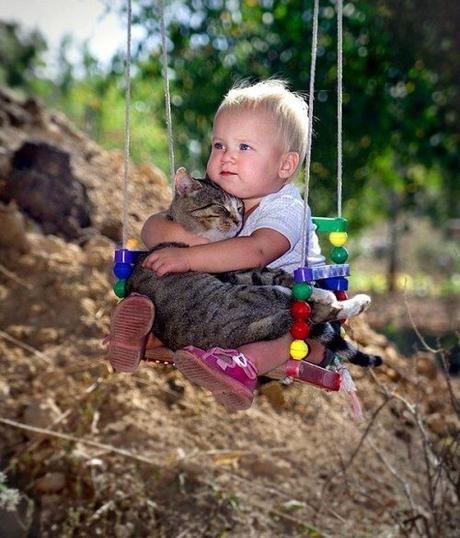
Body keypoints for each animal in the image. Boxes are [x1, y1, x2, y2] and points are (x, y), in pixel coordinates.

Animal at [126, 168, 380, 366]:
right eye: (220, 208)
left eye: (239, 208)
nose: (239, 221)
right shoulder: (238, 272)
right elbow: (280, 275)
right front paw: (322, 292)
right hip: (261, 296)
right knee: (310, 310)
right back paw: (346, 300)